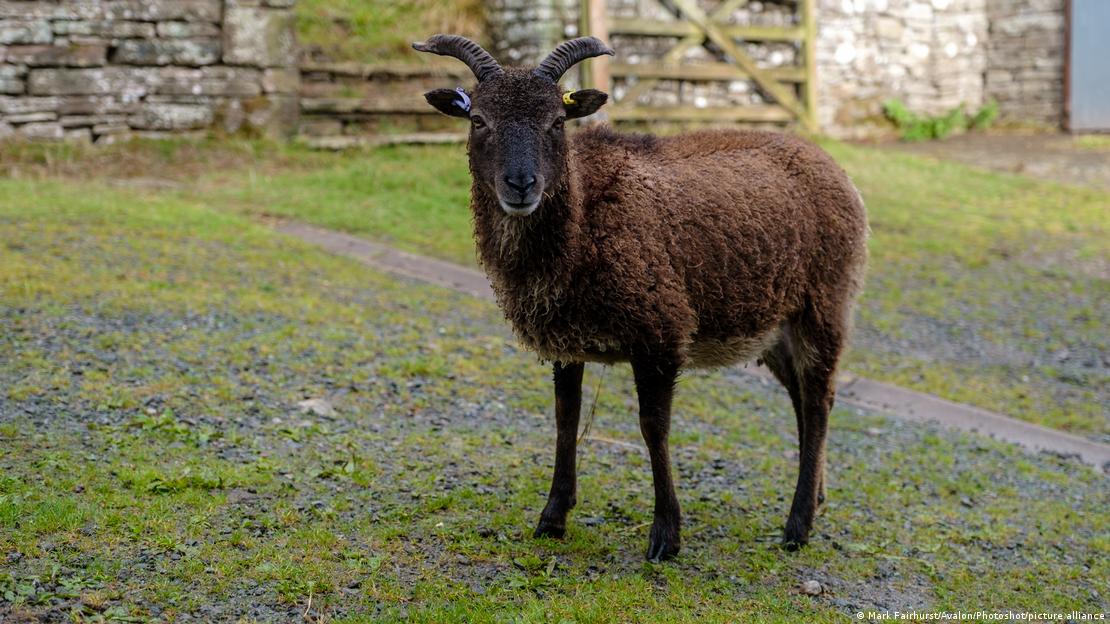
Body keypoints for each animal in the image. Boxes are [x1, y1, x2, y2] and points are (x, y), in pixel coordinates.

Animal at [414, 35, 869, 561]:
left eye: (556, 121)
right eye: (478, 120)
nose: (522, 185)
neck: (584, 217)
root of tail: (832, 165)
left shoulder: (661, 330)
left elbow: (654, 426)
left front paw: (666, 536)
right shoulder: (566, 339)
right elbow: (565, 418)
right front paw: (552, 517)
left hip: (824, 303)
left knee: (817, 400)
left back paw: (798, 527)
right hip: (774, 327)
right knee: (805, 398)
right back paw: (816, 496)